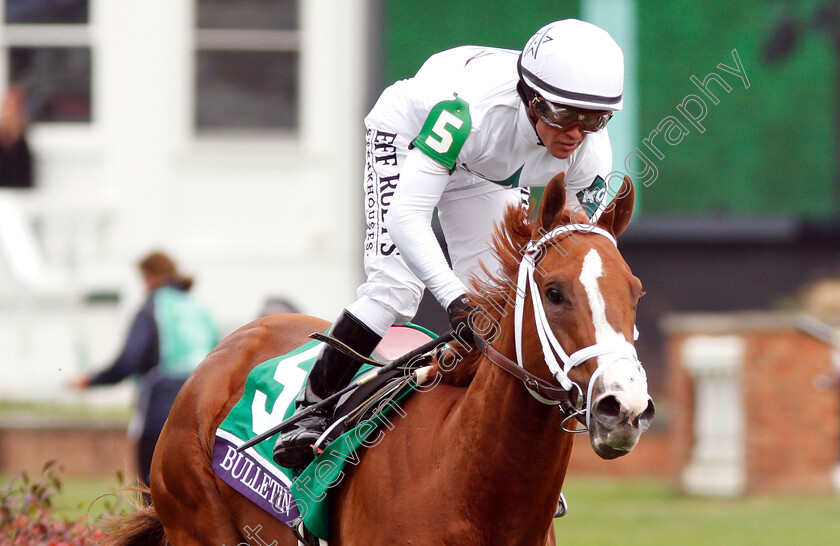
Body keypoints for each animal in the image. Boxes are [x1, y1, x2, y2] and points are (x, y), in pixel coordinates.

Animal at [108, 173, 652, 544]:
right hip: (196, 521)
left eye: (636, 292)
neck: (465, 481)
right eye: (554, 292)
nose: (623, 406)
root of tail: (226, 347)